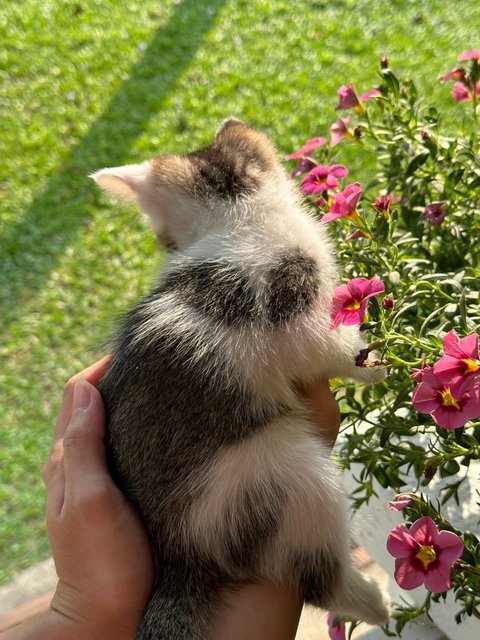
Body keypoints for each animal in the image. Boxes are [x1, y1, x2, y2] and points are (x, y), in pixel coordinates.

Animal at [93, 120, 390, 640]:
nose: (168, 245)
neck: (237, 222)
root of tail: (177, 555)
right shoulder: (297, 310)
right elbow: (331, 348)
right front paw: (375, 364)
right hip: (287, 483)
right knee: (318, 575)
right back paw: (377, 602)